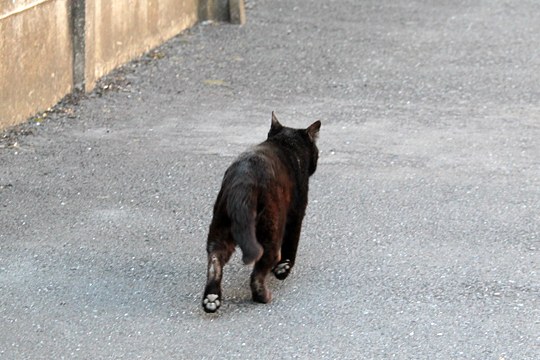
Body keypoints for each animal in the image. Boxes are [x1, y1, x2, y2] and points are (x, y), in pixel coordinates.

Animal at [202, 112, 320, 312]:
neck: (287, 145)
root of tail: (244, 180)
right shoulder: (296, 215)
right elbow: (291, 246)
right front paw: (283, 268)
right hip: (271, 228)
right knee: (258, 271)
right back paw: (263, 296)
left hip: (220, 227)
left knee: (215, 260)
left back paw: (211, 299)